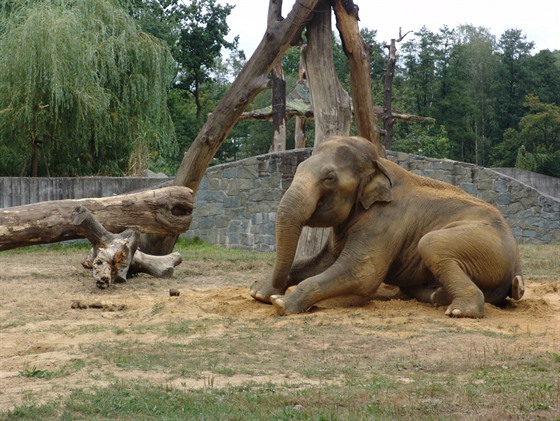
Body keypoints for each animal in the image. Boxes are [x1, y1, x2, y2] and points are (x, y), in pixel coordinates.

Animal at [250, 136, 524, 316]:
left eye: (330, 178)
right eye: (298, 168)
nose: (272, 292)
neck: (380, 164)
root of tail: (516, 268)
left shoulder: (384, 222)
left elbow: (361, 274)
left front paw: (281, 303)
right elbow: (320, 263)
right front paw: (259, 292)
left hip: (486, 246)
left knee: (431, 243)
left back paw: (457, 310)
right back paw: (435, 296)